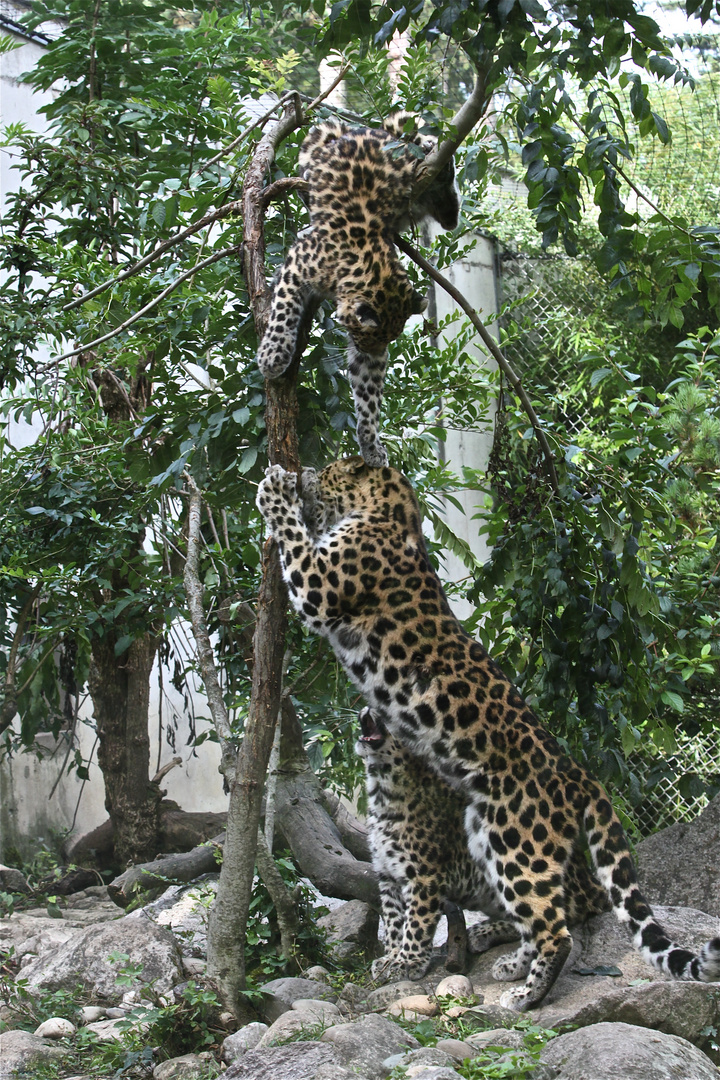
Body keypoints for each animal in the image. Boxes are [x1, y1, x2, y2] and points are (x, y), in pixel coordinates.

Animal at [358, 704, 613, 984]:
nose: (367, 707)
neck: (382, 788)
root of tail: (590, 882)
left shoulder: (423, 877)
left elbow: (416, 922)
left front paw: (407, 962)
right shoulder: (386, 874)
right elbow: (393, 919)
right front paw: (391, 957)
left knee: (554, 917)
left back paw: (484, 935)